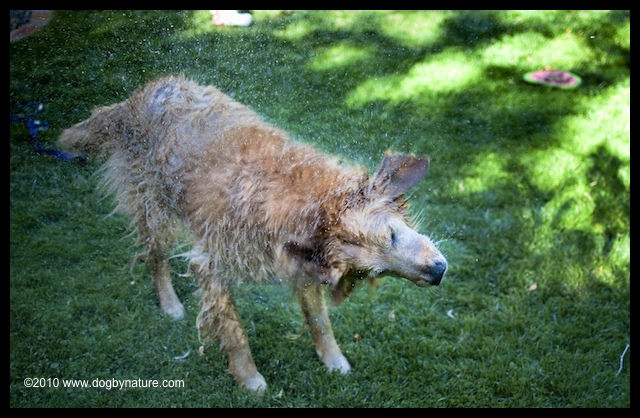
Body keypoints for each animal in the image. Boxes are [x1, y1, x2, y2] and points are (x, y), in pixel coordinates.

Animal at [58, 75, 447, 393]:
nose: (438, 272)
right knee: (156, 259)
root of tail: (134, 99)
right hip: (154, 209)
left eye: (380, 269)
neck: (310, 205)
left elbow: (319, 321)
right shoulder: (210, 264)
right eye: (392, 235)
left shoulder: (304, 265)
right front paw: (249, 378)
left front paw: (333, 359)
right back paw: (169, 303)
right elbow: (234, 333)